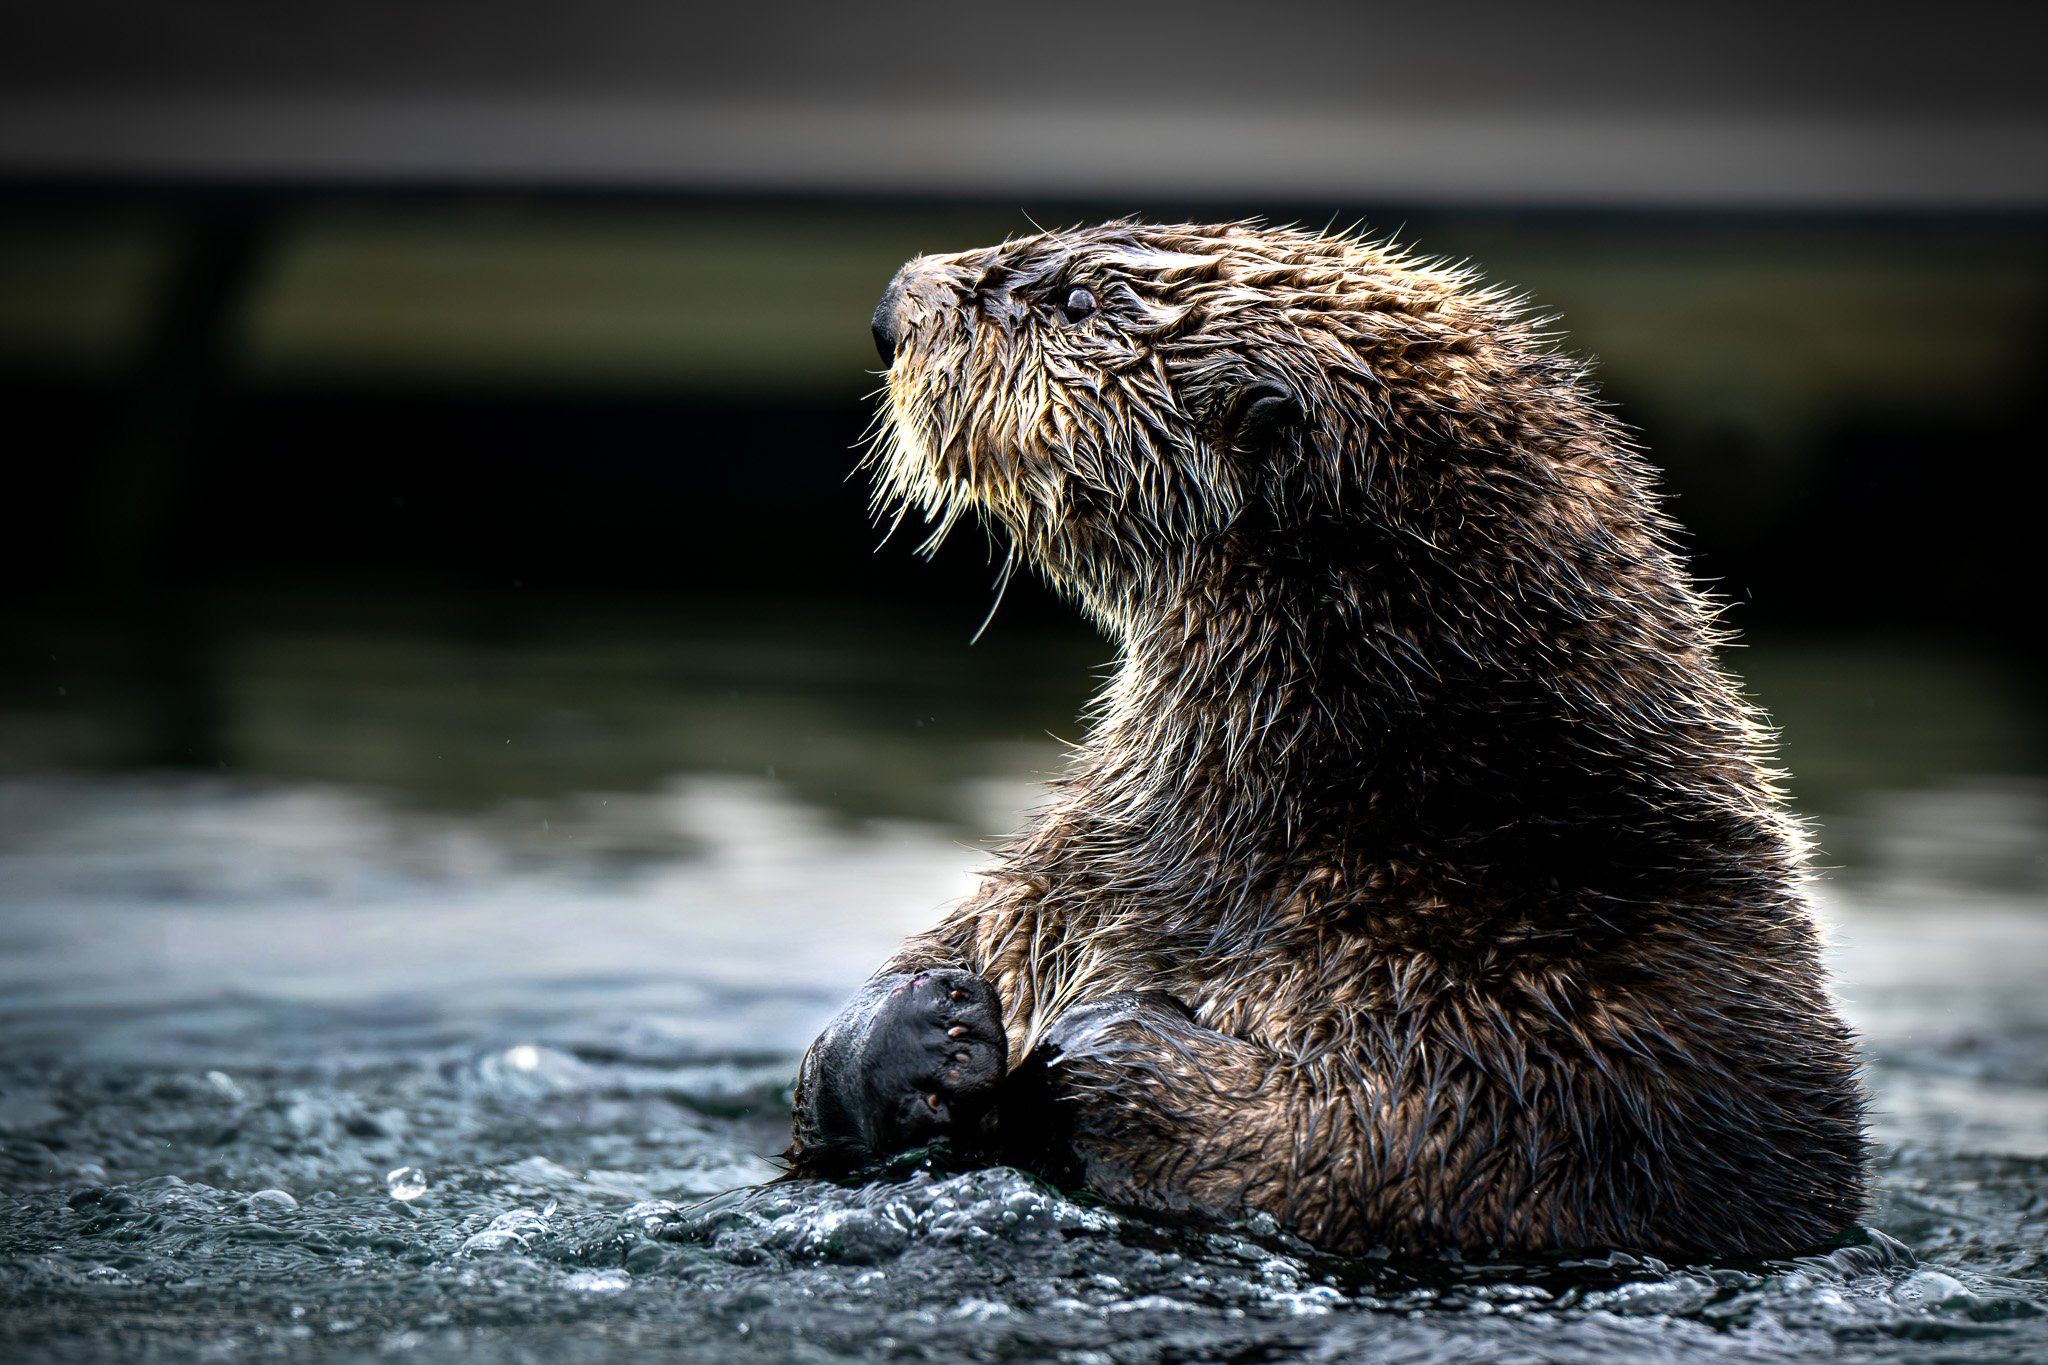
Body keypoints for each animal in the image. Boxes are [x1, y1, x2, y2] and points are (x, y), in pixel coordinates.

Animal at [787, 221, 1867, 1258]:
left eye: (1081, 300)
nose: (895, 303)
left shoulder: (1589, 1048)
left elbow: (1406, 1148)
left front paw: (1107, 1045)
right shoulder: (1064, 874)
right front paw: (920, 1025)